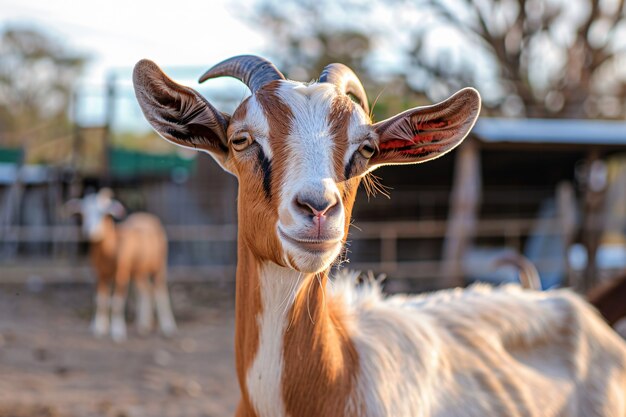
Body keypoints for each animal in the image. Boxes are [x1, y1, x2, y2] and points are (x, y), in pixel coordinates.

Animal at [65, 188, 176, 342]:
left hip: (159, 264)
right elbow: (101, 299)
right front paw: (99, 328)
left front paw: (117, 332)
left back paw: (168, 327)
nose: (89, 232)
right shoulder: (100, 273)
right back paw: (143, 325)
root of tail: (148, 216)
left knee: (160, 290)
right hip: (138, 270)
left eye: (103, 212)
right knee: (146, 290)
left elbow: (117, 301)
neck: (111, 248)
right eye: (83, 212)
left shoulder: (121, 272)